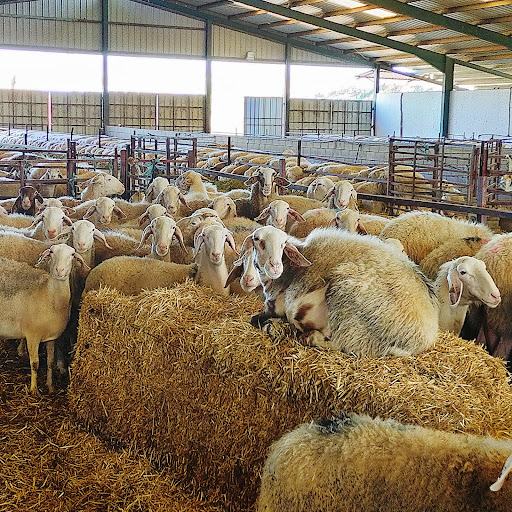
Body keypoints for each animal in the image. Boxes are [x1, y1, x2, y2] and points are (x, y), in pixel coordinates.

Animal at [0, 243, 89, 392]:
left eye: (72, 254)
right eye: (52, 252)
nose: (59, 270)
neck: (48, 294)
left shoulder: (51, 337)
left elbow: (50, 362)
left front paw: (50, 386)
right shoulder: (32, 336)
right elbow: (35, 363)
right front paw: (33, 389)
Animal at [246, 226, 438, 358]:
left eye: (283, 244)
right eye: (257, 239)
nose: (275, 266)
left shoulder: (274, 307)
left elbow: (255, 319)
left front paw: (272, 327)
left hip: (347, 296)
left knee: (348, 344)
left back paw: (309, 336)